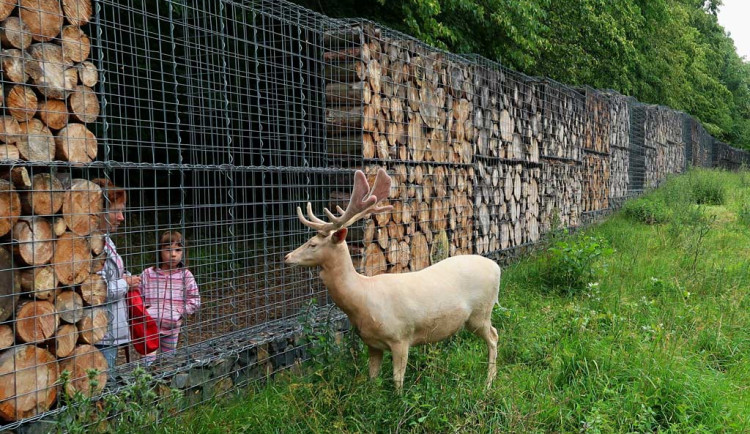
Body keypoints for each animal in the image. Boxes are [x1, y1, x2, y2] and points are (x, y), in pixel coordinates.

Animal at [284, 169, 502, 390]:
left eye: (312, 244)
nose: (287, 257)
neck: (362, 298)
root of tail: (497, 268)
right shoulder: (371, 343)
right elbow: (372, 379)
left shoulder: (401, 337)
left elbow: (398, 382)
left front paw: (400, 398)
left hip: (481, 311)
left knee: (494, 336)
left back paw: (488, 383)